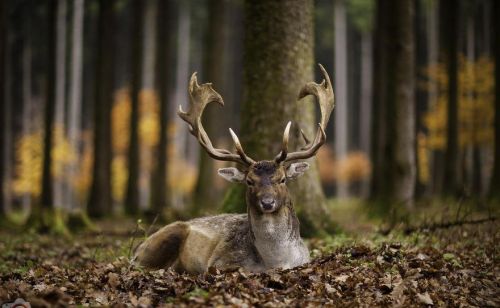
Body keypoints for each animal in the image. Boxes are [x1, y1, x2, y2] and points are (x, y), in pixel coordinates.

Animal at [135, 63, 334, 274]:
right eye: (249, 181)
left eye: (282, 179)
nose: (267, 202)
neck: (275, 261)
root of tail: (137, 248)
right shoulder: (219, 262)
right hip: (169, 235)